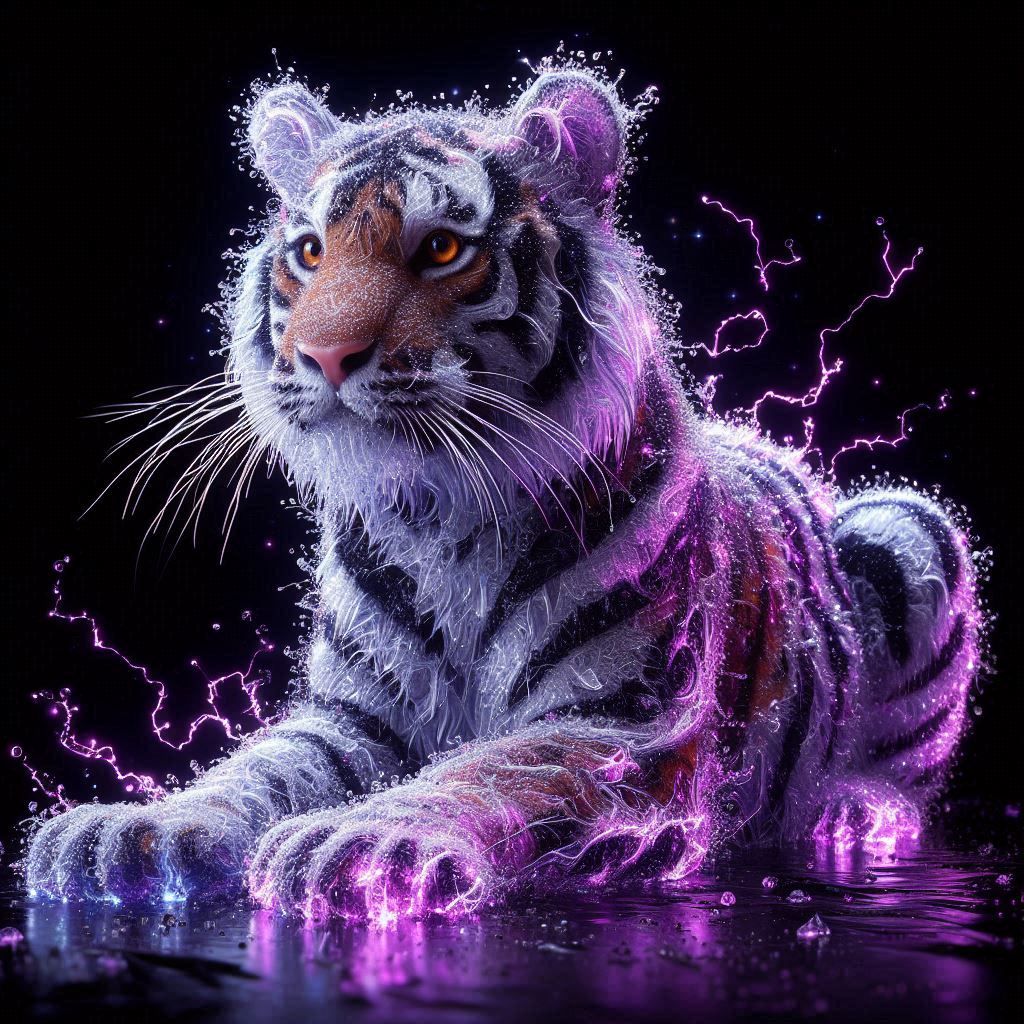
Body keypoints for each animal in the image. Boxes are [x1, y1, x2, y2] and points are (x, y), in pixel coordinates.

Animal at [25, 64, 983, 920]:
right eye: (310, 252)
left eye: (443, 248)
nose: (323, 356)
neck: (436, 516)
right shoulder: (351, 718)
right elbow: (253, 770)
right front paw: (128, 831)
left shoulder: (618, 721)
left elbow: (486, 770)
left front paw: (358, 843)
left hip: (906, 526)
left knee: (906, 771)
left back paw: (852, 809)